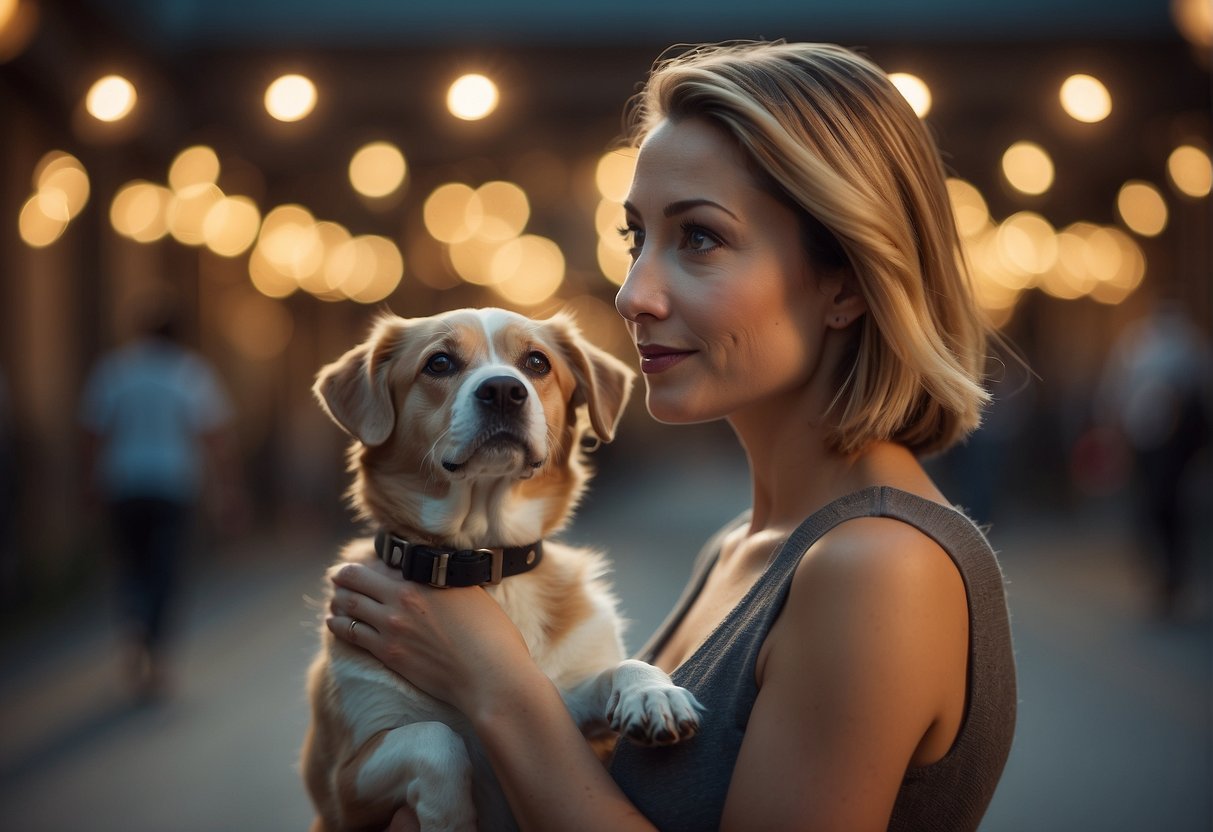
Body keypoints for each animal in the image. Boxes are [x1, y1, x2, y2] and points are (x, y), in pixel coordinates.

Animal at [300, 309, 703, 832]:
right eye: (439, 362)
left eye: (536, 362)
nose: (503, 390)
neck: (484, 559)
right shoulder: (342, 789)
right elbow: (436, 740)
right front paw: (451, 819)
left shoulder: (566, 716)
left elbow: (625, 666)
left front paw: (654, 694)